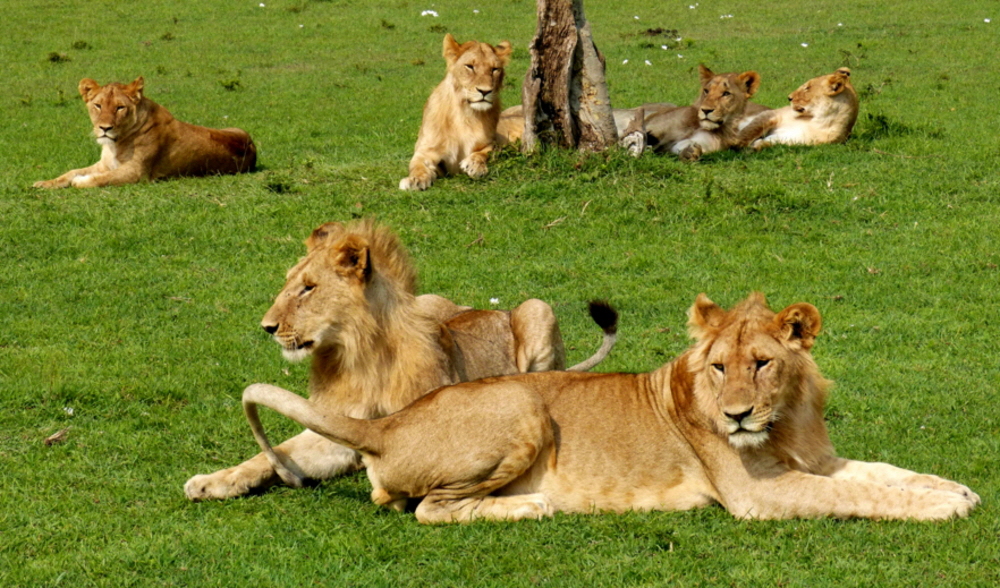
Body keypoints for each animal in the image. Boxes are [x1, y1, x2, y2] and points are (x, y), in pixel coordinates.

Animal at [33, 74, 256, 187]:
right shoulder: (104, 164)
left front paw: (80, 181)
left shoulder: (137, 172)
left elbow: (98, 180)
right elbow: (70, 172)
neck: (115, 143)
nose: (105, 128)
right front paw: (45, 183)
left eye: (119, 108)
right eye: (98, 105)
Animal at [183, 218, 612, 498]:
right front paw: (213, 480)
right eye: (289, 283)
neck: (359, 357)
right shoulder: (337, 427)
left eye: (308, 288)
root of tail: (490, 308)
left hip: (538, 310)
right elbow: (273, 453)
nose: (267, 327)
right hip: (432, 303)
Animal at [246, 294, 980, 524]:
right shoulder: (755, 495)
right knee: (427, 508)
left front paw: (955, 489)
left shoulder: (818, 458)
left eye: (762, 363)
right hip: (522, 404)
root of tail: (386, 421)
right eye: (719, 367)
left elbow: (884, 474)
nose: (737, 416)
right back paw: (533, 505)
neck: (785, 417)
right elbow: (857, 495)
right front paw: (942, 508)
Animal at [398, 34, 512, 191]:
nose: (485, 91)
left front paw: (475, 166)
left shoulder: (493, 143)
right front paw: (415, 180)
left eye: (495, 69)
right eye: (470, 66)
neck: (467, 114)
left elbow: (484, 152)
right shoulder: (426, 150)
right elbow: (418, 165)